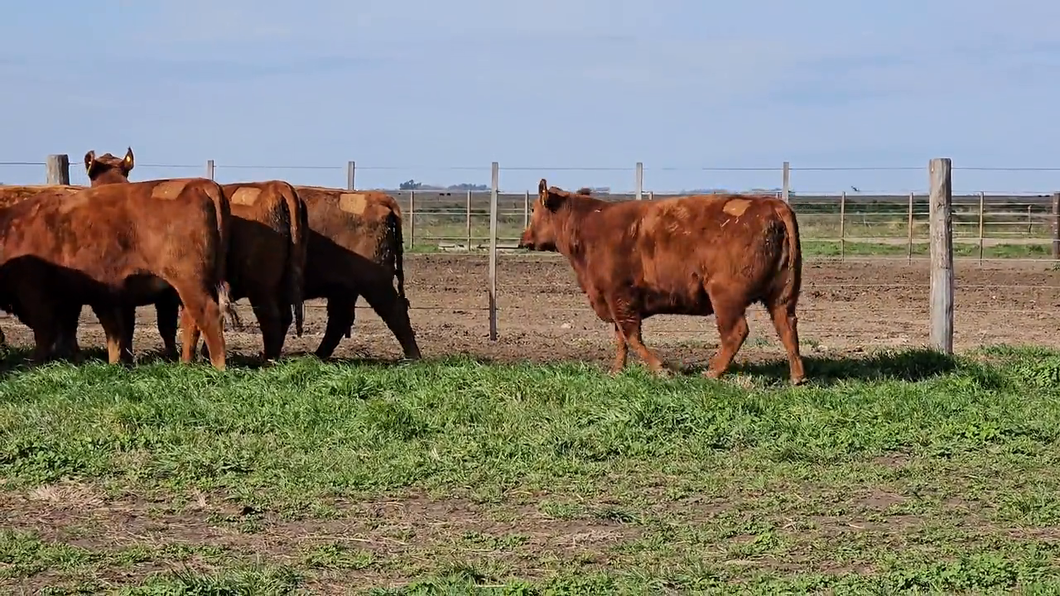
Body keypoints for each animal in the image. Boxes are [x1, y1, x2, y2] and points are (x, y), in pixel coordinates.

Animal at [0, 178, 236, 369]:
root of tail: (201, 183)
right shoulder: (82, 296)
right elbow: (94, 330)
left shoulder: (35, 293)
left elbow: (45, 331)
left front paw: (33, 363)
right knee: (192, 321)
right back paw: (187, 364)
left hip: (189, 283)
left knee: (208, 315)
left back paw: (218, 367)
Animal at [294, 185, 421, 360]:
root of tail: (376, 197)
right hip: (344, 289)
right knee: (339, 319)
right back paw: (318, 356)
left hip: (373, 282)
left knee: (395, 311)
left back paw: (414, 357)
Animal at [515, 181, 801, 381]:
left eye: (534, 208)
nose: (523, 238)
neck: (591, 226)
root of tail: (772, 204)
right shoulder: (615, 301)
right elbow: (620, 339)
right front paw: (617, 371)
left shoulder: (619, 297)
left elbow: (631, 336)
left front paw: (661, 369)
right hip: (781, 295)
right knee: (787, 327)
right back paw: (797, 377)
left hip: (725, 297)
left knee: (735, 332)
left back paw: (712, 372)